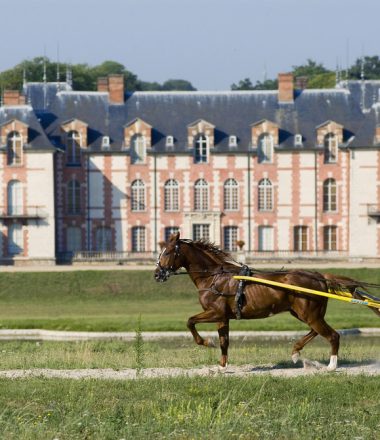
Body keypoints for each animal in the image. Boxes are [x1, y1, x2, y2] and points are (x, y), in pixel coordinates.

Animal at [154, 232, 350, 370]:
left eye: (168, 252)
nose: (157, 274)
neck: (214, 277)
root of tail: (318, 276)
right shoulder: (222, 317)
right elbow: (224, 341)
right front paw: (222, 366)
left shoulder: (215, 312)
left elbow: (190, 321)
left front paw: (207, 342)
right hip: (303, 313)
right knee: (316, 331)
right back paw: (296, 351)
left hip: (309, 314)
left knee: (332, 335)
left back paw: (331, 366)